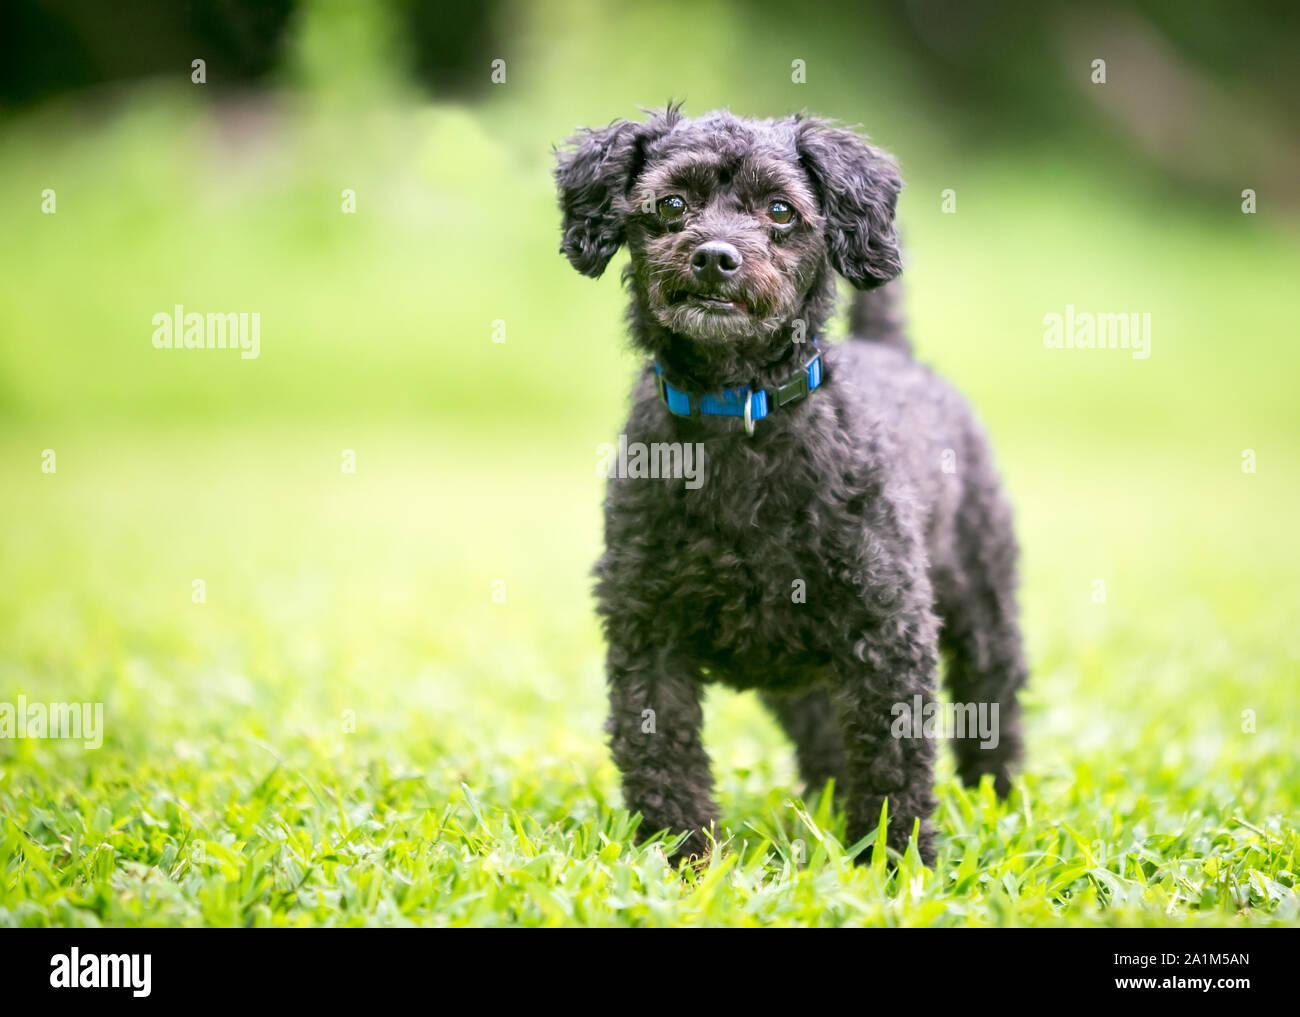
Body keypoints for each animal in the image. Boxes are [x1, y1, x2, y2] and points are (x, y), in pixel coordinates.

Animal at [553, 105, 1029, 868]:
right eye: (671, 204)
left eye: (780, 210)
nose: (715, 256)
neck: (739, 420)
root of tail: (894, 350)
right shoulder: (646, 628)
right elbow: (661, 755)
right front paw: (684, 859)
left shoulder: (888, 631)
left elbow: (896, 762)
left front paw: (894, 864)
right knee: (826, 734)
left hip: (984, 604)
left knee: (996, 705)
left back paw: (999, 800)